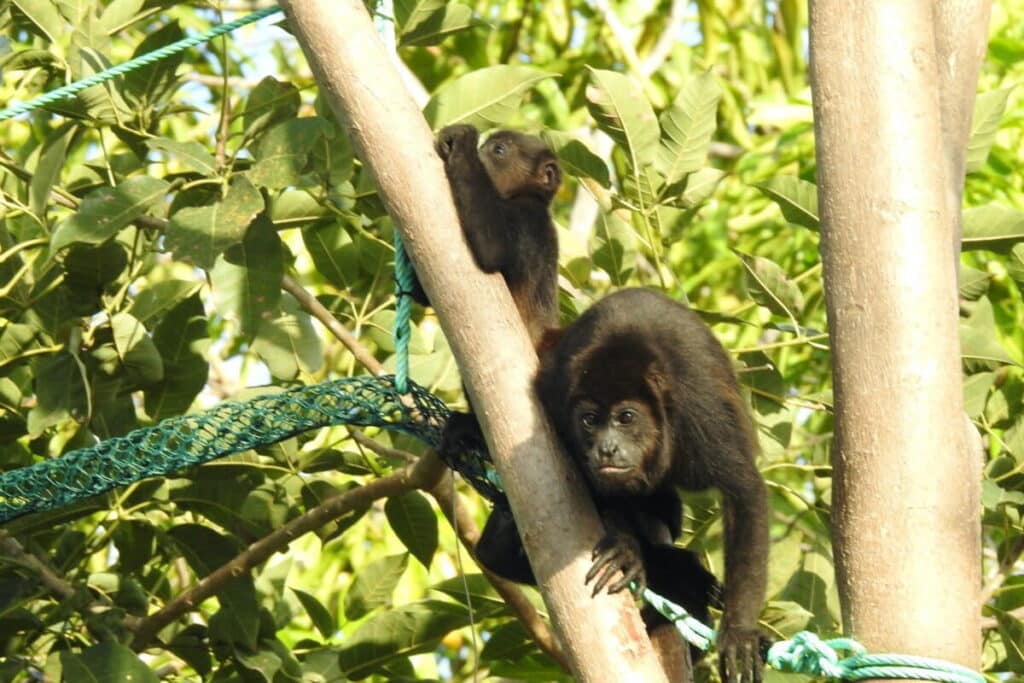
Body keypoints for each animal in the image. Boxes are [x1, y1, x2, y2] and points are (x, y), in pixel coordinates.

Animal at [534, 287, 770, 683]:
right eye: (589, 420)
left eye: (626, 417)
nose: (606, 448)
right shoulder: (557, 403)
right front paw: (625, 550)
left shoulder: (701, 413)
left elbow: (746, 494)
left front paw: (739, 632)